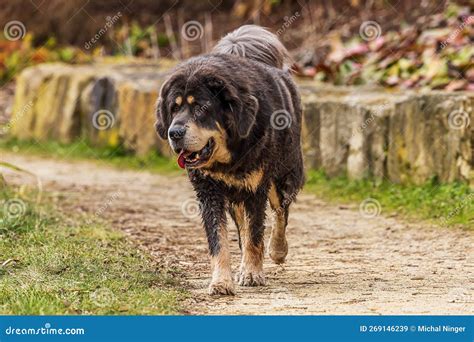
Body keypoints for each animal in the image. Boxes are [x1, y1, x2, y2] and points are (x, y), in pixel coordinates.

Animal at [156, 25, 304, 296]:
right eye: (173, 108)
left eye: (201, 108)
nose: (174, 133)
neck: (228, 156)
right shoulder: (209, 193)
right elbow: (220, 241)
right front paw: (221, 281)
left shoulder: (256, 188)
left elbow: (256, 234)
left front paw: (253, 273)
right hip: (237, 195)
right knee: (244, 229)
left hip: (281, 176)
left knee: (280, 213)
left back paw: (277, 250)